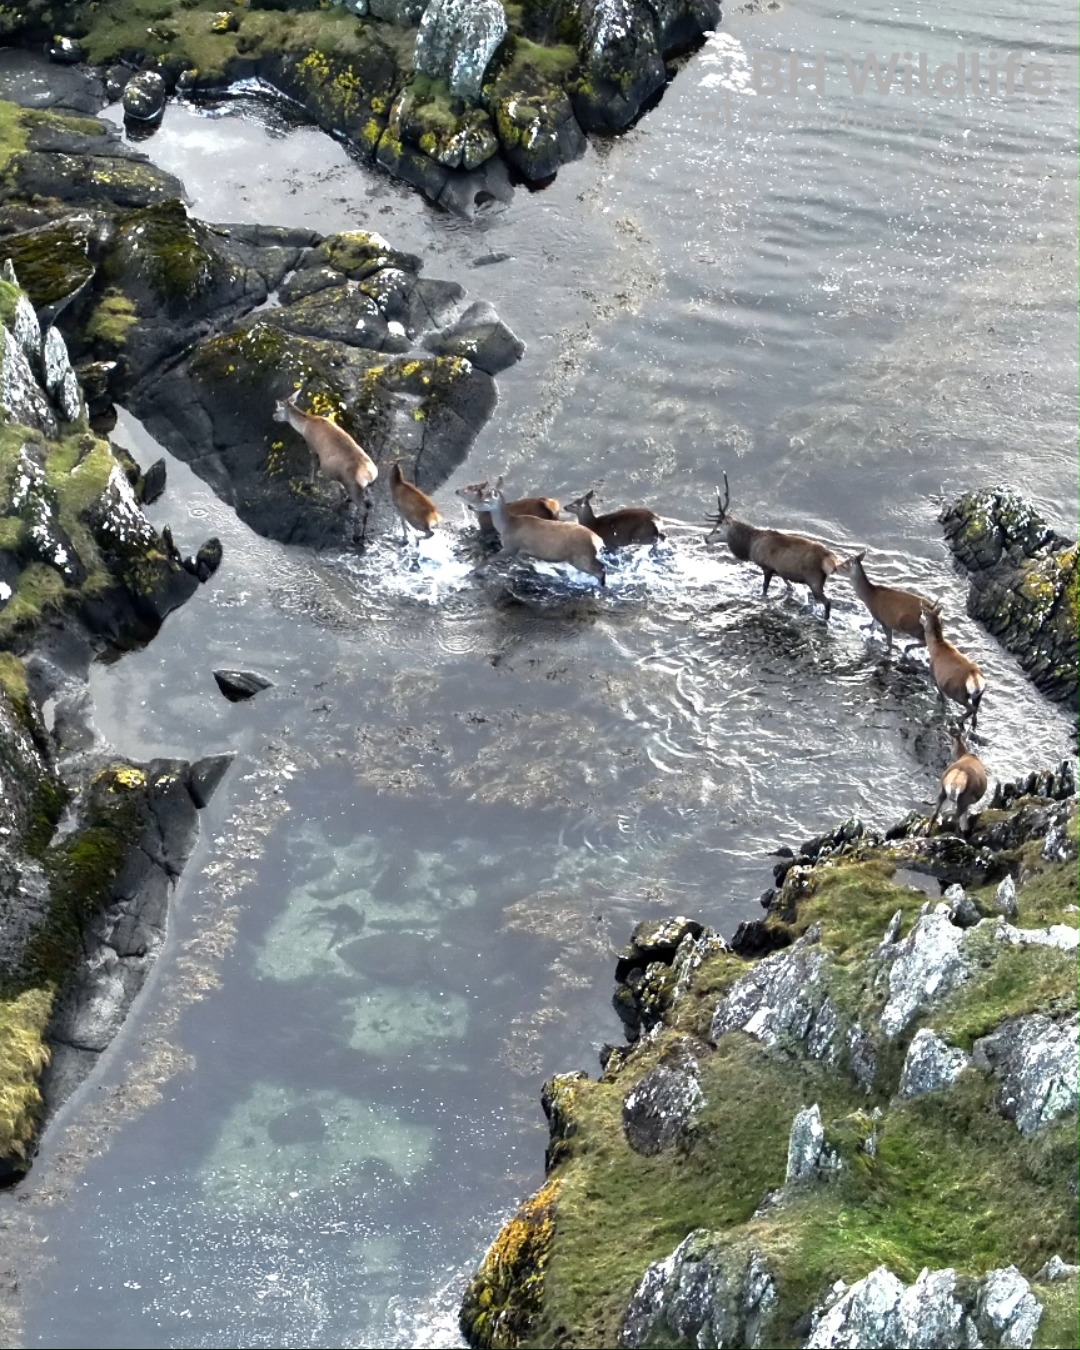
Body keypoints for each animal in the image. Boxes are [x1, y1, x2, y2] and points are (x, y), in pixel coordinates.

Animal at [458, 477, 606, 587]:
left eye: (486, 500)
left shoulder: (511, 546)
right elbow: (525, 562)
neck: (507, 526)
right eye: (482, 495)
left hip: (580, 557)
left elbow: (488, 559)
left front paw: (467, 573)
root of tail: (598, 540)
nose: (470, 506)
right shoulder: (520, 551)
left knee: (600, 570)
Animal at [705, 473, 839, 621]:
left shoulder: (767, 567)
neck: (750, 546)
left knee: (828, 602)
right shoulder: (780, 570)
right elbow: (788, 585)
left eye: (717, 530)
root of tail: (831, 558)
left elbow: (764, 588)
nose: (706, 539)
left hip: (814, 579)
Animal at [919, 601, 987, 731]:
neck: (934, 647)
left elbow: (942, 696)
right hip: (979, 695)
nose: (919, 619)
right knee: (976, 709)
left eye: (923, 614)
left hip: (958, 692)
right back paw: (973, 725)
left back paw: (958, 719)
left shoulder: (935, 676)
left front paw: (941, 702)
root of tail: (976, 679)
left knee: (971, 708)